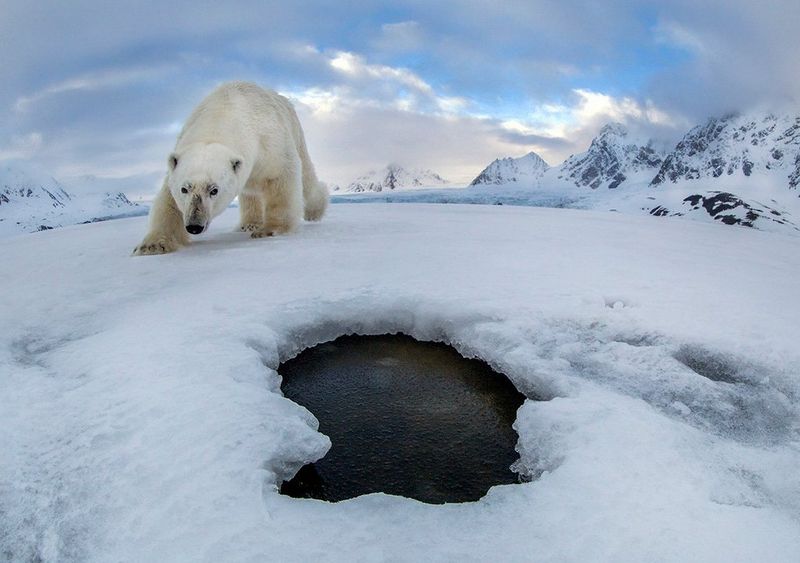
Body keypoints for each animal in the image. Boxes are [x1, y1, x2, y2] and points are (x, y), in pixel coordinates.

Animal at [133, 81, 328, 255]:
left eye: (214, 190)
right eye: (184, 189)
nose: (194, 226)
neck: (223, 111)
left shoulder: (270, 142)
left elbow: (280, 178)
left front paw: (270, 230)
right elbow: (168, 200)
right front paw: (152, 245)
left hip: (296, 132)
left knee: (306, 177)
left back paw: (315, 211)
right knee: (250, 194)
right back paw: (249, 223)